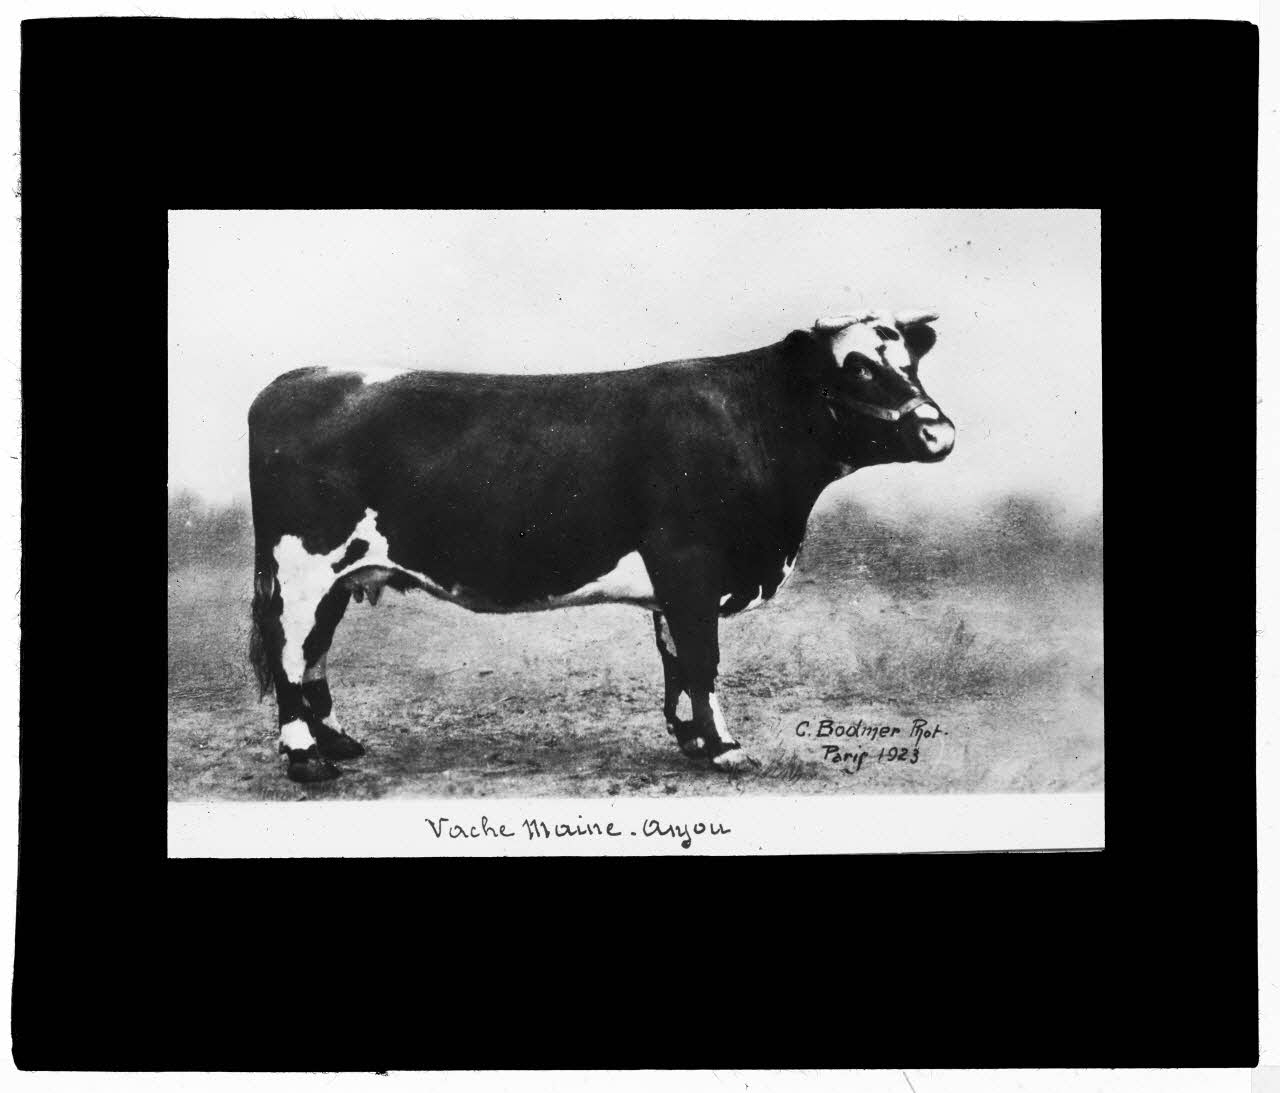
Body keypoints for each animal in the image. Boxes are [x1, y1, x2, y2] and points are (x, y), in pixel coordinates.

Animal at [247, 309, 955, 782]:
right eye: (856, 368)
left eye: (911, 365)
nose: (939, 432)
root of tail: (299, 378)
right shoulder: (692, 569)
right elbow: (703, 662)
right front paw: (726, 749)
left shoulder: (676, 585)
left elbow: (676, 664)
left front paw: (692, 740)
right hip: (303, 566)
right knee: (288, 652)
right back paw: (306, 759)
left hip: (338, 576)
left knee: (314, 652)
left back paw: (337, 742)